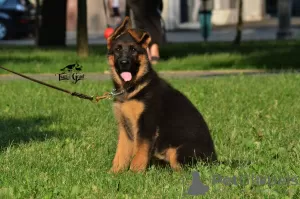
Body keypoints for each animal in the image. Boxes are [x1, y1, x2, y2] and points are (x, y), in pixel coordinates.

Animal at [106, 17, 217, 173]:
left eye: (133, 50)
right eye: (117, 49)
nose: (124, 62)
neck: (131, 89)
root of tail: (215, 161)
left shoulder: (146, 125)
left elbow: (140, 152)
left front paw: (134, 173)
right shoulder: (124, 128)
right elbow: (121, 153)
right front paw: (114, 172)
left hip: (178, 151)